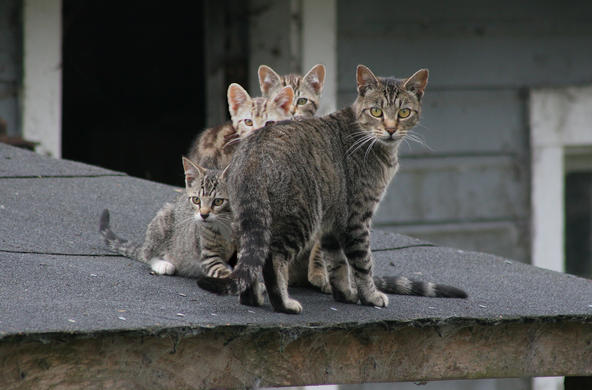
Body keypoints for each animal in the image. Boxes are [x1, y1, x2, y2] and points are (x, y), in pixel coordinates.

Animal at [99, 157, 234, 278]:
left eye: (218, 201)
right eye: (196, 200)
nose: (204, 214)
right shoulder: (206, 254)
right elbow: (221, 272)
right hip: (162, 220)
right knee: (147, 254)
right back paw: (162, 264)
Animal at [199, 64, 468, 314]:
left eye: (404, 112)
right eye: (376, 111)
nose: (391, 129)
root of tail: (253, 151)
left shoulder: (332, 223)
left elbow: (337, 264)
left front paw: (345, 294)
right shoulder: (357, 217)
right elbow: (362, 264)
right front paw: (371, 296)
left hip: (250, 222)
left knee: (251, 262)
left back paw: (252, 299)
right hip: (301, 216)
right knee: (272, 260)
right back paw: (284, 303)